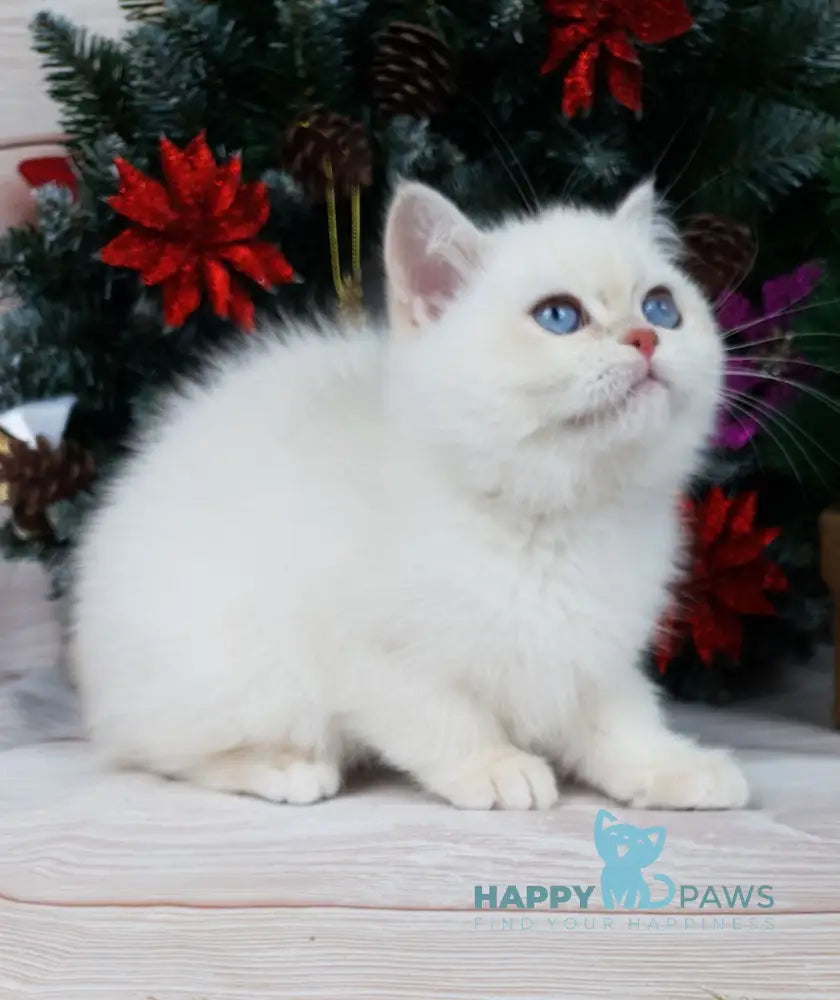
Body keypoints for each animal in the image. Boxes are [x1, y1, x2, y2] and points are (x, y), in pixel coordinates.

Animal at [74, 180, 748, 812]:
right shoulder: (375, 655)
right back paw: (283, 765)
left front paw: (672, 765)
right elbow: (444, 716)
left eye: (661, 306)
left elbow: (623, 718)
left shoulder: (594, 651)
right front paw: (496, 766)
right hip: (232, 660)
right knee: (159, 749)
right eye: (559, 316)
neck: (553, 515)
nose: (645, 338)